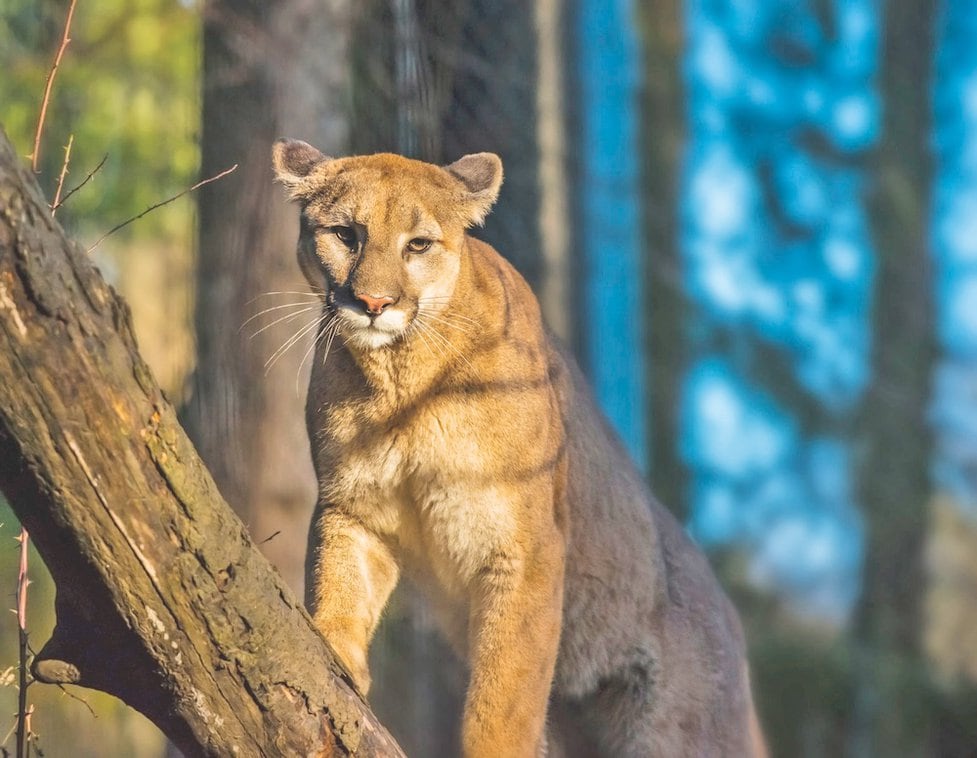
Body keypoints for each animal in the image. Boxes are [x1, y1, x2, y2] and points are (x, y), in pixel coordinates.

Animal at [272, 139, 765, 757]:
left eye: (418, 244)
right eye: (345, 234)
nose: (373, 302)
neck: (399, 380)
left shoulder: (526, 545)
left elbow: (505, 694)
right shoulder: (354, 502)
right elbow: (338, 580)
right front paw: (334, 654)